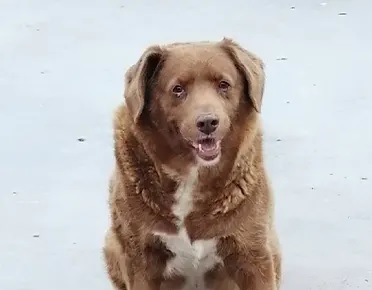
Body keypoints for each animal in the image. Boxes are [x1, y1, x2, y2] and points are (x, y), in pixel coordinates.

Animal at [103, 38, 280, 290]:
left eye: (224, 85)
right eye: (178, 89)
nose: (208, 122)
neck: (191, 175)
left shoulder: (252, 253)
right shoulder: (141, 257)